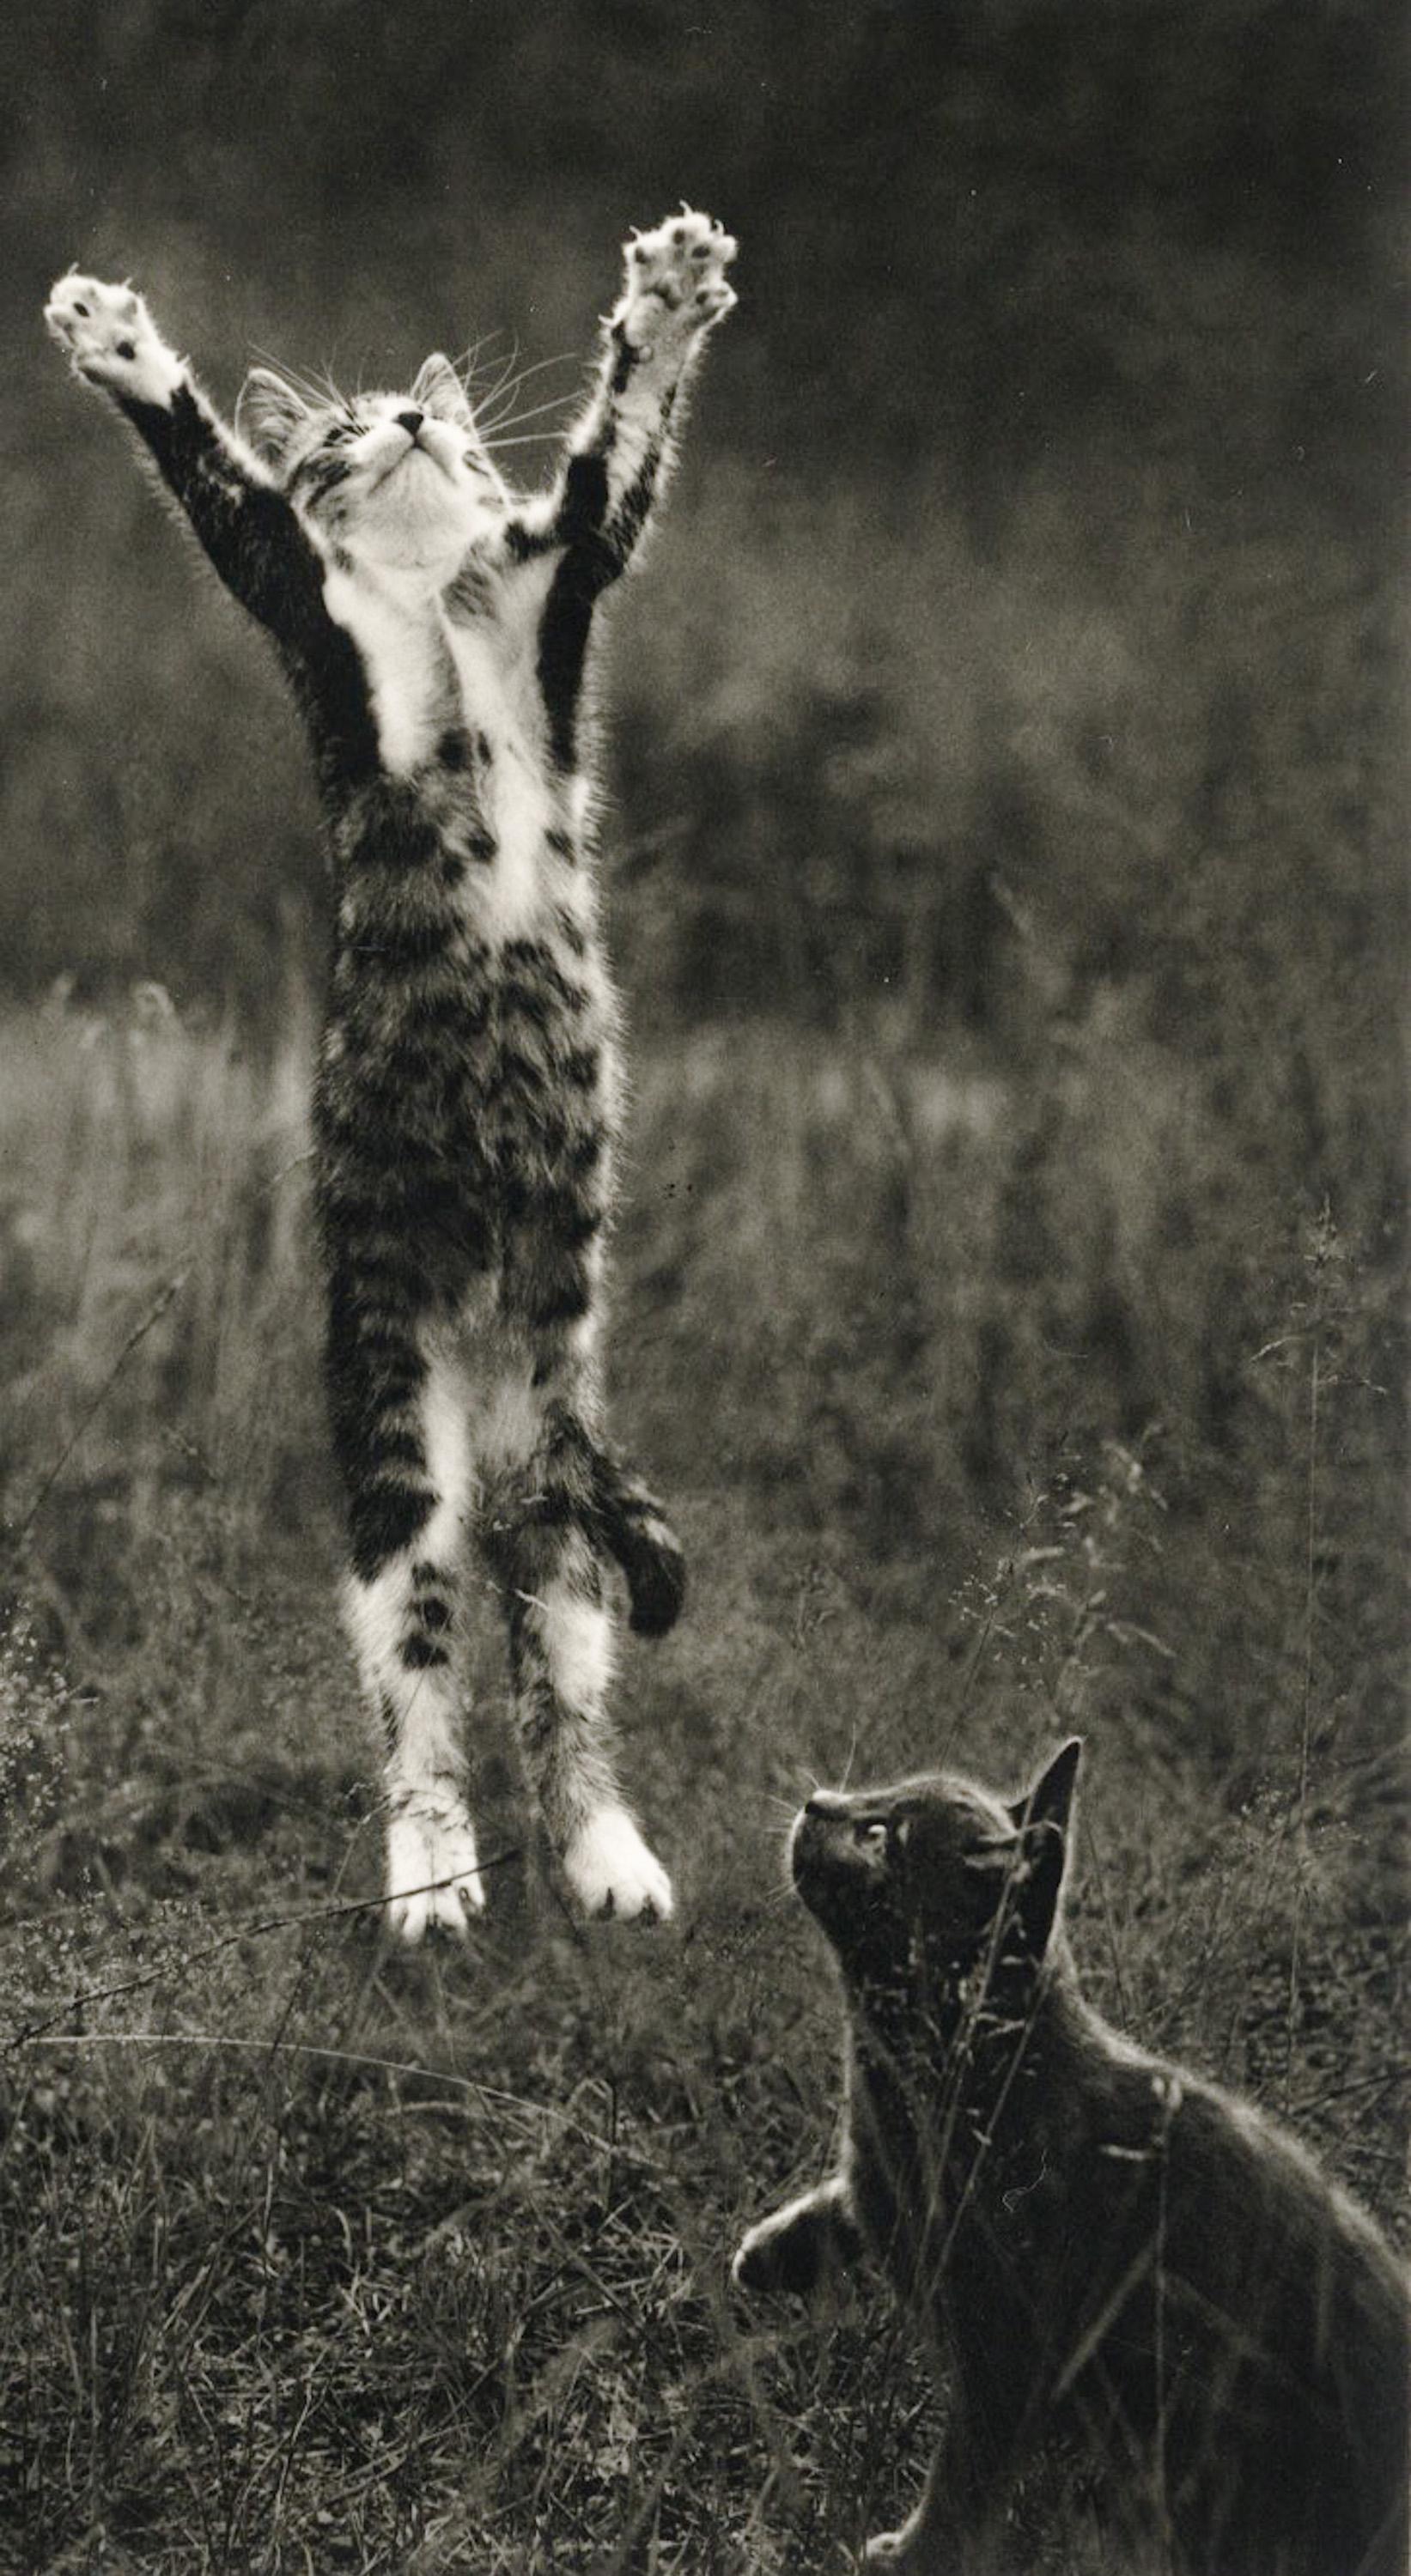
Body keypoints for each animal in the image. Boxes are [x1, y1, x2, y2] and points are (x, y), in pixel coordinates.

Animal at [45, 206, 736, 1937]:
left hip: (559, 1481)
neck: (430, 592)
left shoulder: (566, 573)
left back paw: (605, 1858)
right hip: (391, 1446)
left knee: (559, 1680)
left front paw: (668, 297)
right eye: (342, 427)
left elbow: (622, 444)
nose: (415, 418)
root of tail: (494, 1402)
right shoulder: (295, 594)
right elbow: (213, 475)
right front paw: (114, 341)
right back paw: (430, 1879)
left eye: (438, 418)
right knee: (416, 1679)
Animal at [731, 1741, 1401, 2566]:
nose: (817, 1801)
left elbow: (960, 2483)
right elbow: (849, 2202)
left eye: (880, 1835)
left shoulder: (1007, 2362)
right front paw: (767, 2252)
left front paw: (908, 2556)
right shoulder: (879, 2177)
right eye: (868, 1801)